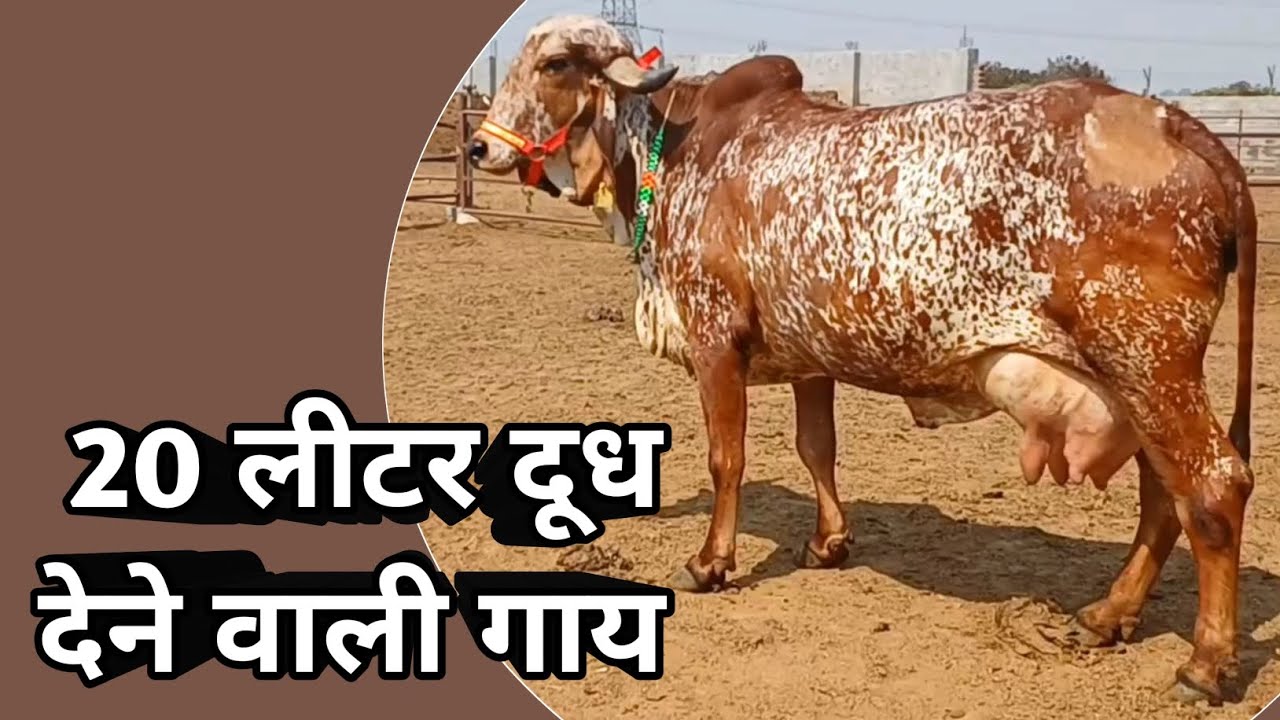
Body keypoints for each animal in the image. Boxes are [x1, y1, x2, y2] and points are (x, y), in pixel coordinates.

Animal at [466, 14, 1258, 704]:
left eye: (555, 64)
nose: (478, 148)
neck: (683, 148)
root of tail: (1173, 121)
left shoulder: (715, 336)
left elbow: (728, 458)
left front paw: (711, 562)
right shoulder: (810, 354)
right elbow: (817, 447)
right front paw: (828, 542)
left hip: (1150, 364)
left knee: (1213, 488)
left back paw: (1203, 663)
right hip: (1136, 382)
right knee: (1164, 496)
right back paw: (1106, 616)